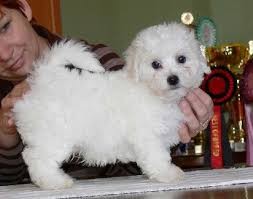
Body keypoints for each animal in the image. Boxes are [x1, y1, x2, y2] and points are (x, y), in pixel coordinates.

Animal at [13, 22, 210, 189]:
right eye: (155, 64)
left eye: (182, 59)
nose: (173, 79)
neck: (153, 92)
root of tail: (45, 76)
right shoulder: (148, 135)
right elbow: (157, 156)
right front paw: (168, 174)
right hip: (54, 133)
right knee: (37, 158)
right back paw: (54, 182)